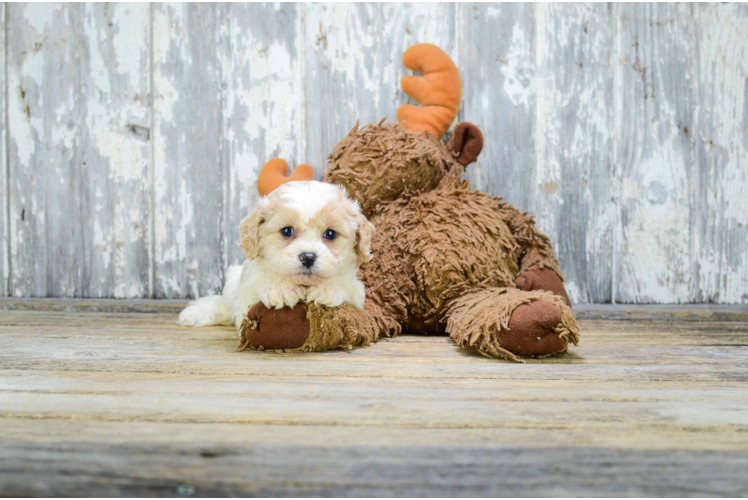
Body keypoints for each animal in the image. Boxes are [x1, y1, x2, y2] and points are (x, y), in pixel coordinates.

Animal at [176, 180, 374, 328]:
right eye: (286, 231)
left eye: (330, 234)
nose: (308, 257)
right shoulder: (247, 294)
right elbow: (266, 278)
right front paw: (280, 288)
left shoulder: (357, 295)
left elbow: (344, 283)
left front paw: (328, 288)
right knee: (226, 304)